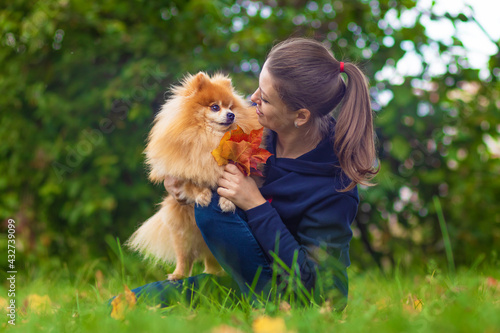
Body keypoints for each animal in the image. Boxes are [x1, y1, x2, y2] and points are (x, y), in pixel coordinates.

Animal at [126, 71, 262, 278]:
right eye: (215, 107)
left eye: (231, 107)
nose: (231, 115)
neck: (212, 139)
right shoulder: (183, 168)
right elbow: (192, 181)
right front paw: (202, 194)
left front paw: (227, 201)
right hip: (183, 234)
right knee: (185, 258)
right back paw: (179, 275)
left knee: (210, 259)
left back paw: (214, 274)